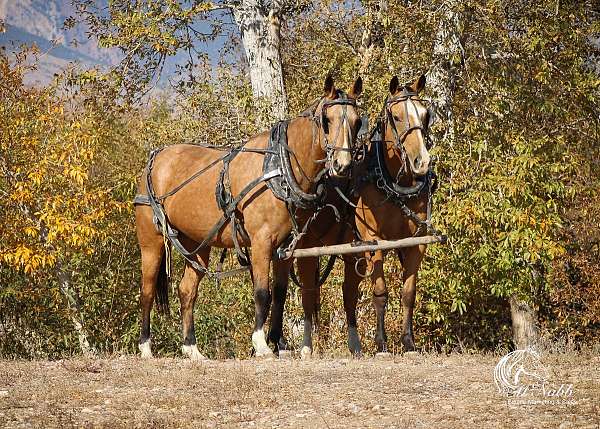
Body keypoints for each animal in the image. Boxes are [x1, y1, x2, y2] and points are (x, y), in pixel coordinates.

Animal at [134, 76, 364, 358]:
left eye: (357, 121)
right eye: (327, 120)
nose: (343, 165)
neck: (280, 168)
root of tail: (155, 159)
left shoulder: (285, 248)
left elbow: (280, 294)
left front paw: (279, 344)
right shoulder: (261, 241)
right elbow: (262, 292)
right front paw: (261, 344)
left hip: (196, 244)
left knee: (187, 291)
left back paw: (192, 348)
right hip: (151, 241)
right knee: (146, 291)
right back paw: (146, 347)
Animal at [292, 75, 434, 356]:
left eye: (425, 115)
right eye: (396, 116)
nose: (421, 162)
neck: (392, 183)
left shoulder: (416, 243)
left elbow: (408, 294)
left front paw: (408, 342)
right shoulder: (373, 242)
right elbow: (380, 292)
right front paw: (381, 344)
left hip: (351, 252)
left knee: (348, 294)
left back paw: (354, 345)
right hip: (307, 249)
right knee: (309, 294)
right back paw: (306, 346)